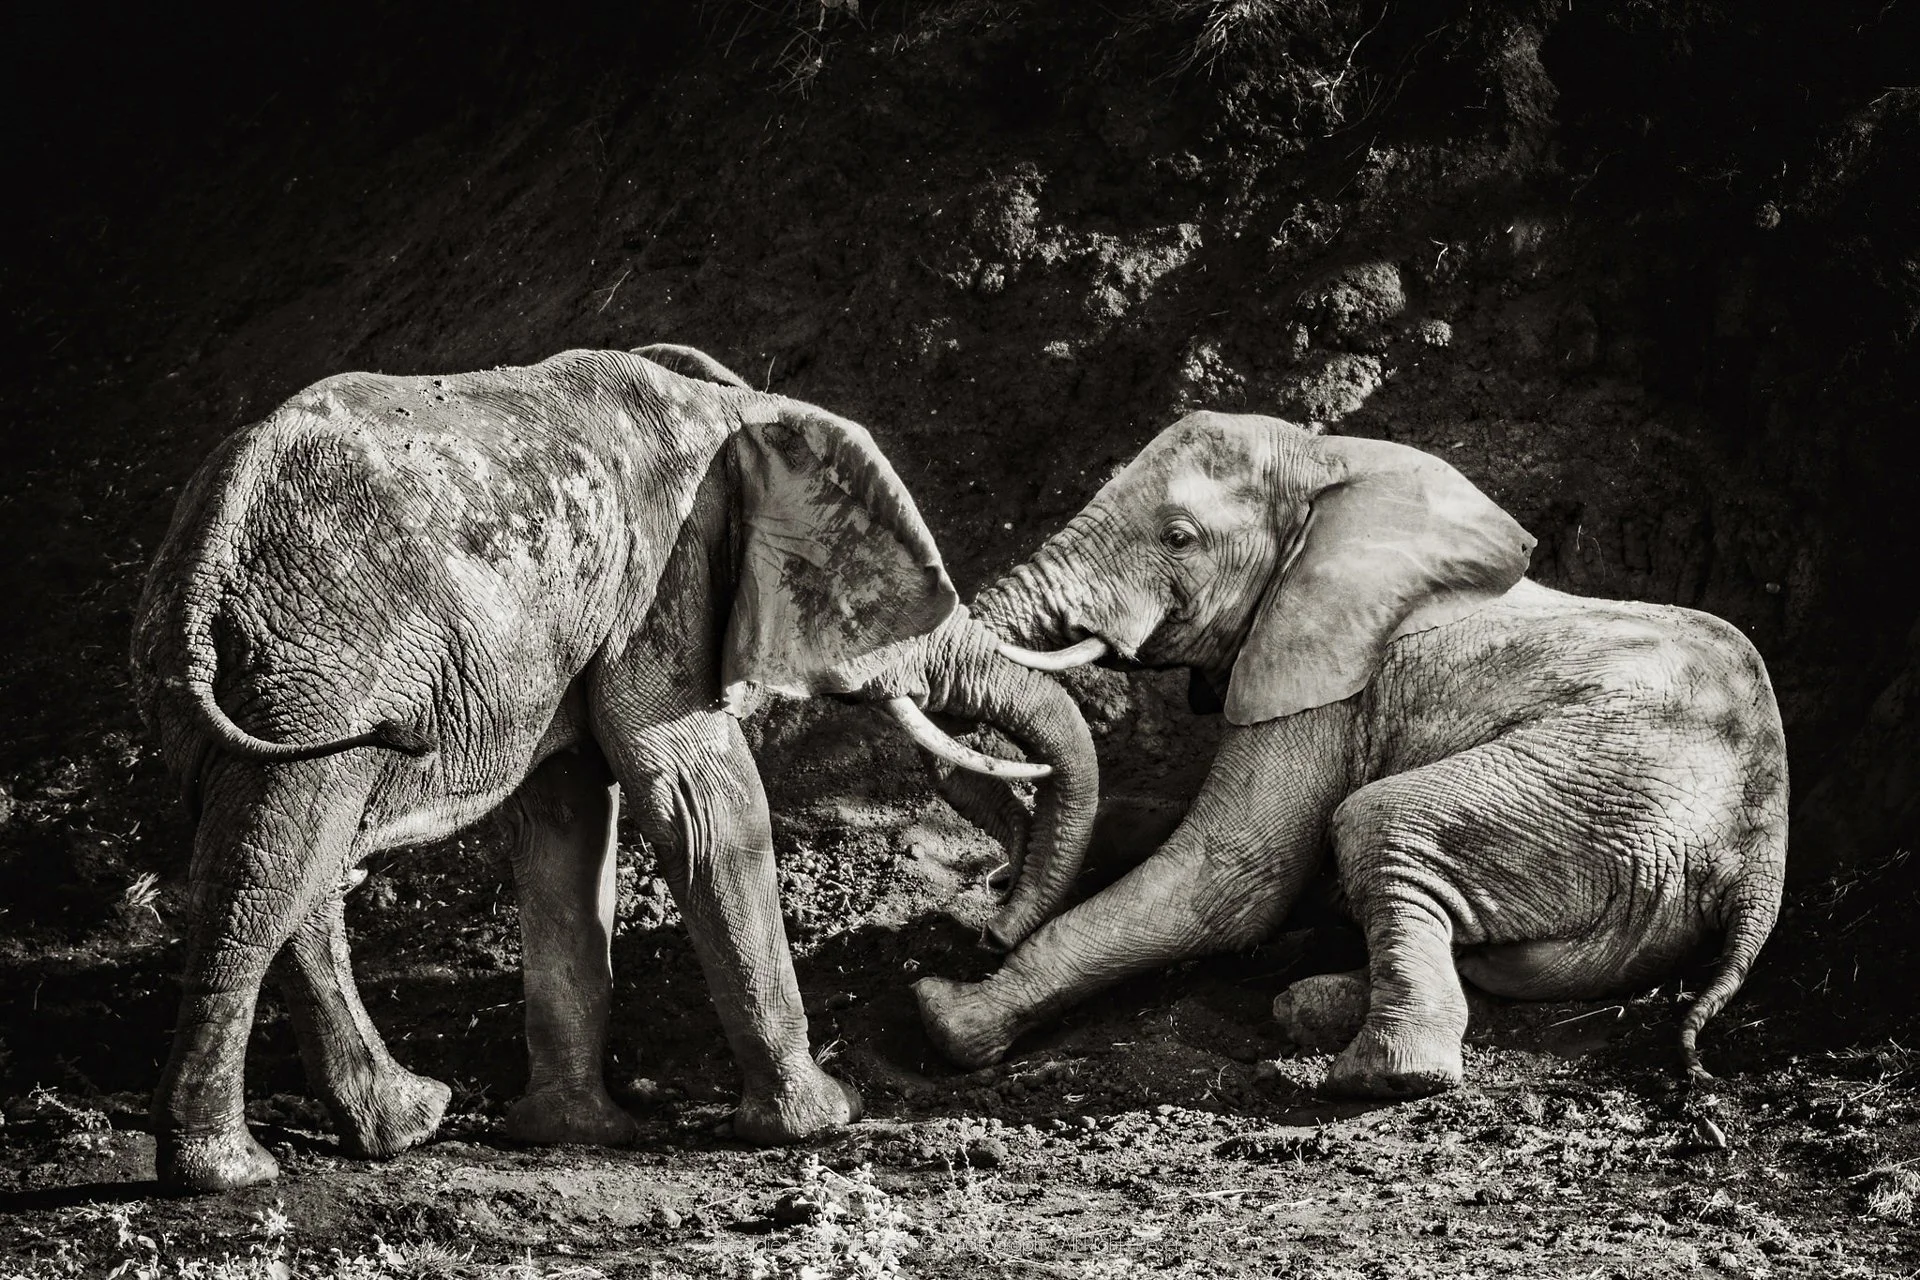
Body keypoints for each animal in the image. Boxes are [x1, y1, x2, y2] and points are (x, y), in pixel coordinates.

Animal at [131, 344, 1098, 1192]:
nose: (989, 930)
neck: (733, 409)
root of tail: (212, 540)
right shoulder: (664, 585)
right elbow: (704, 806)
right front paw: (821, 1120)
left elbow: (567, 830)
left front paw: (570, 1134)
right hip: (321, 673)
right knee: (274, 866)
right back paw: (229, 1174)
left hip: (249, 684)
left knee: (290, 862)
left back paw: (402, 1124)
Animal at [911, 409, 1787, 1098]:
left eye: (1178, 538)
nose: (993, 923)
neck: (1326, 462)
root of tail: (1759, 856)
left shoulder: (1327, 682)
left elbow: (1228, 876)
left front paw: (945, 1014)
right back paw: (1316, 1003)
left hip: (1598, 780)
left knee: (1379, 820)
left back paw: (1381, 1071)